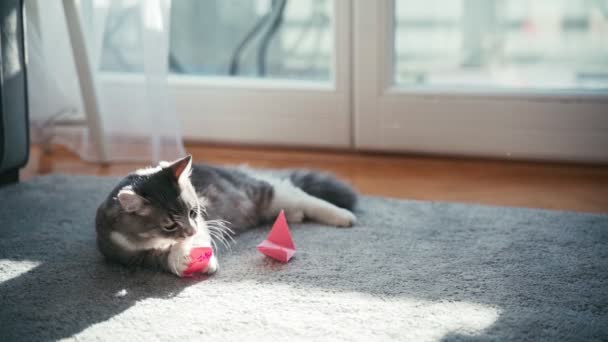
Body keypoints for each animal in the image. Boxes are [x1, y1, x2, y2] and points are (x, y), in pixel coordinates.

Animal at [96, 156, 356, 276]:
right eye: (169, 225)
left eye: (193, 212)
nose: (189, 230)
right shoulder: (129, 255)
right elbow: (161, 258)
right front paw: (181, 259)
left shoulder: (202, 223)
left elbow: (197, 240)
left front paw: (199, 258)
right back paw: (296, 215)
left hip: (262, 192)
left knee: (303, 196)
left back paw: (344, 216)